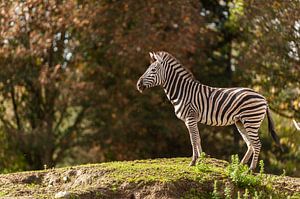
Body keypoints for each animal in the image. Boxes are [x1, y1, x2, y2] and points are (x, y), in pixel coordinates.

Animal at [137, 51, 282, 169]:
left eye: (153, 70)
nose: (138, 85)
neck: (183, 92)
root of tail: (263, 98)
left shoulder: (190, 118)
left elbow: (193, 139)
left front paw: (193, 161)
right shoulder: (190, 120)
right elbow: (198, 139)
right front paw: (202, 159)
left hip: (251, 120)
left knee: (256, 144)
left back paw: (250, 170)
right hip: (241, 122)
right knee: (250, 144)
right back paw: (239, 167)